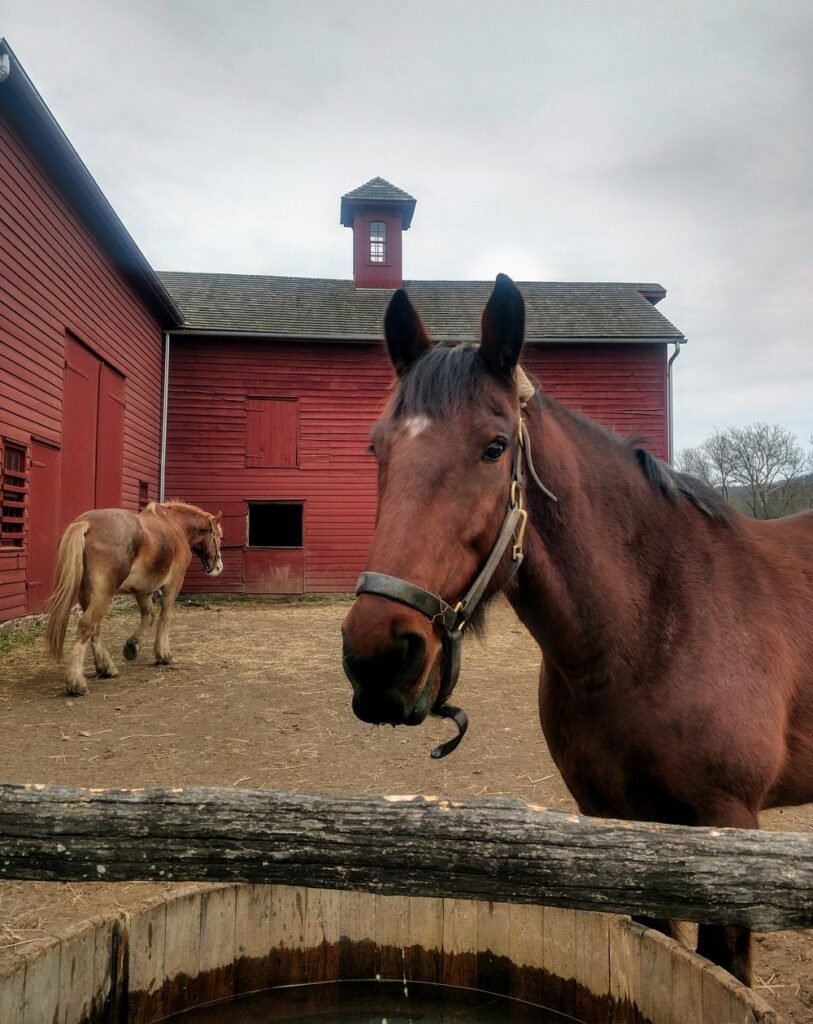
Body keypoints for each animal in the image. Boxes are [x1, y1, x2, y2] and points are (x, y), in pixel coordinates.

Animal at [46, 500, 223, 696]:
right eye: (219, 537)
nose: (218, 566)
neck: (175, 524)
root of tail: (87, 524)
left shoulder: (143, 590)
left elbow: (149, 616)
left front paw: (132, 646)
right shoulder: (173, 584)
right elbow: (164, 617)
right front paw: (163, 654)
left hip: (86, 593)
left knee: (95, 629)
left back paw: (106, 667)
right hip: (103, 593)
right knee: (87, 625)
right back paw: (76, 681)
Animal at [341, 273, 813, 986]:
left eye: (494, 447)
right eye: (377, 448)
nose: (376, 656)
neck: (655, 629)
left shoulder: (727, 829)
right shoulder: (615, 825)